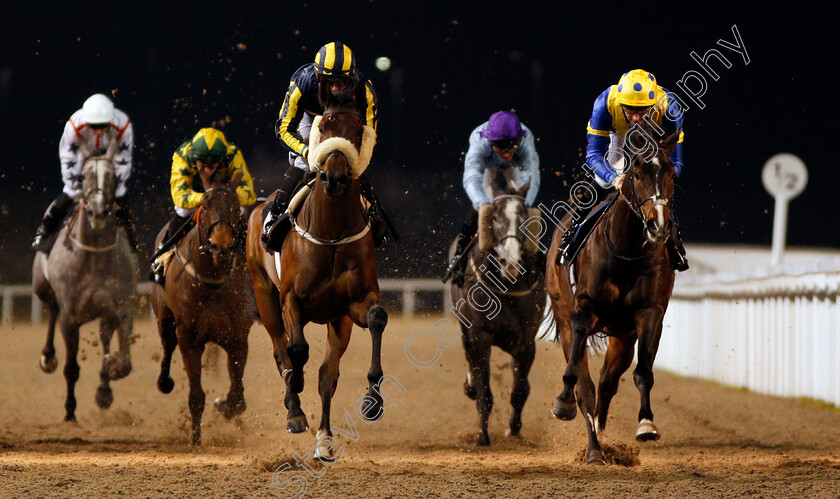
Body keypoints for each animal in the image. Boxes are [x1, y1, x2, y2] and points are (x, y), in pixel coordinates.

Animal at [32, 156, 137, 422]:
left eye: (113, 176)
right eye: (83, 176)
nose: (98, 211)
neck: (95, 257)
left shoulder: (122, 308)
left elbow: (123, 362)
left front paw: (110, 375)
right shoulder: (70, 319)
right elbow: (71, 368)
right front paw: (70, 411)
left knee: (104, 336)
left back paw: (104, 389)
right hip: (42, 287)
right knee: (51, 310)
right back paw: (48, 357)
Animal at [151, 169, 254, 446]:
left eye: (235, 206)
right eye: (205, 205)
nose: (221, 246)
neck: (212, 282)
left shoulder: (237, 336)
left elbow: (238, 398)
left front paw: (225, 405)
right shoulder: (188, 336)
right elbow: (196, 396)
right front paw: (195, 439)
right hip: (164, 318)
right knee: (167, 345)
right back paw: (164, 381)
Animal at [244, 82, 386, 460]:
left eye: (358, 130)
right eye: (325, 126)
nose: (335, 177)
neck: (332, 232)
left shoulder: (353, 304)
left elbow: (376, 319)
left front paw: (373, 399)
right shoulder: (291, 299)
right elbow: (295, 351)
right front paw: (295, 389)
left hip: (338, 321)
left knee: (328, 374)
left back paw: (324, 439)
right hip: (265, 295)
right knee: (281, 350)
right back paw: (294, 411)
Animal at [544, 126, 684, 464]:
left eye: (671, 172)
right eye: (637, 173)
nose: (658, 225)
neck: (626, 251)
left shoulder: (649, 314)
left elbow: (643, 372)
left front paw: (646, 424)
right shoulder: (583, 308)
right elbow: (580, 381)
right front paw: (563, 402)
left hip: (622, 337)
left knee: (607, 384)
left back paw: (602, 437)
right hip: (563, 315)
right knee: (587, 387)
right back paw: (594, 450)